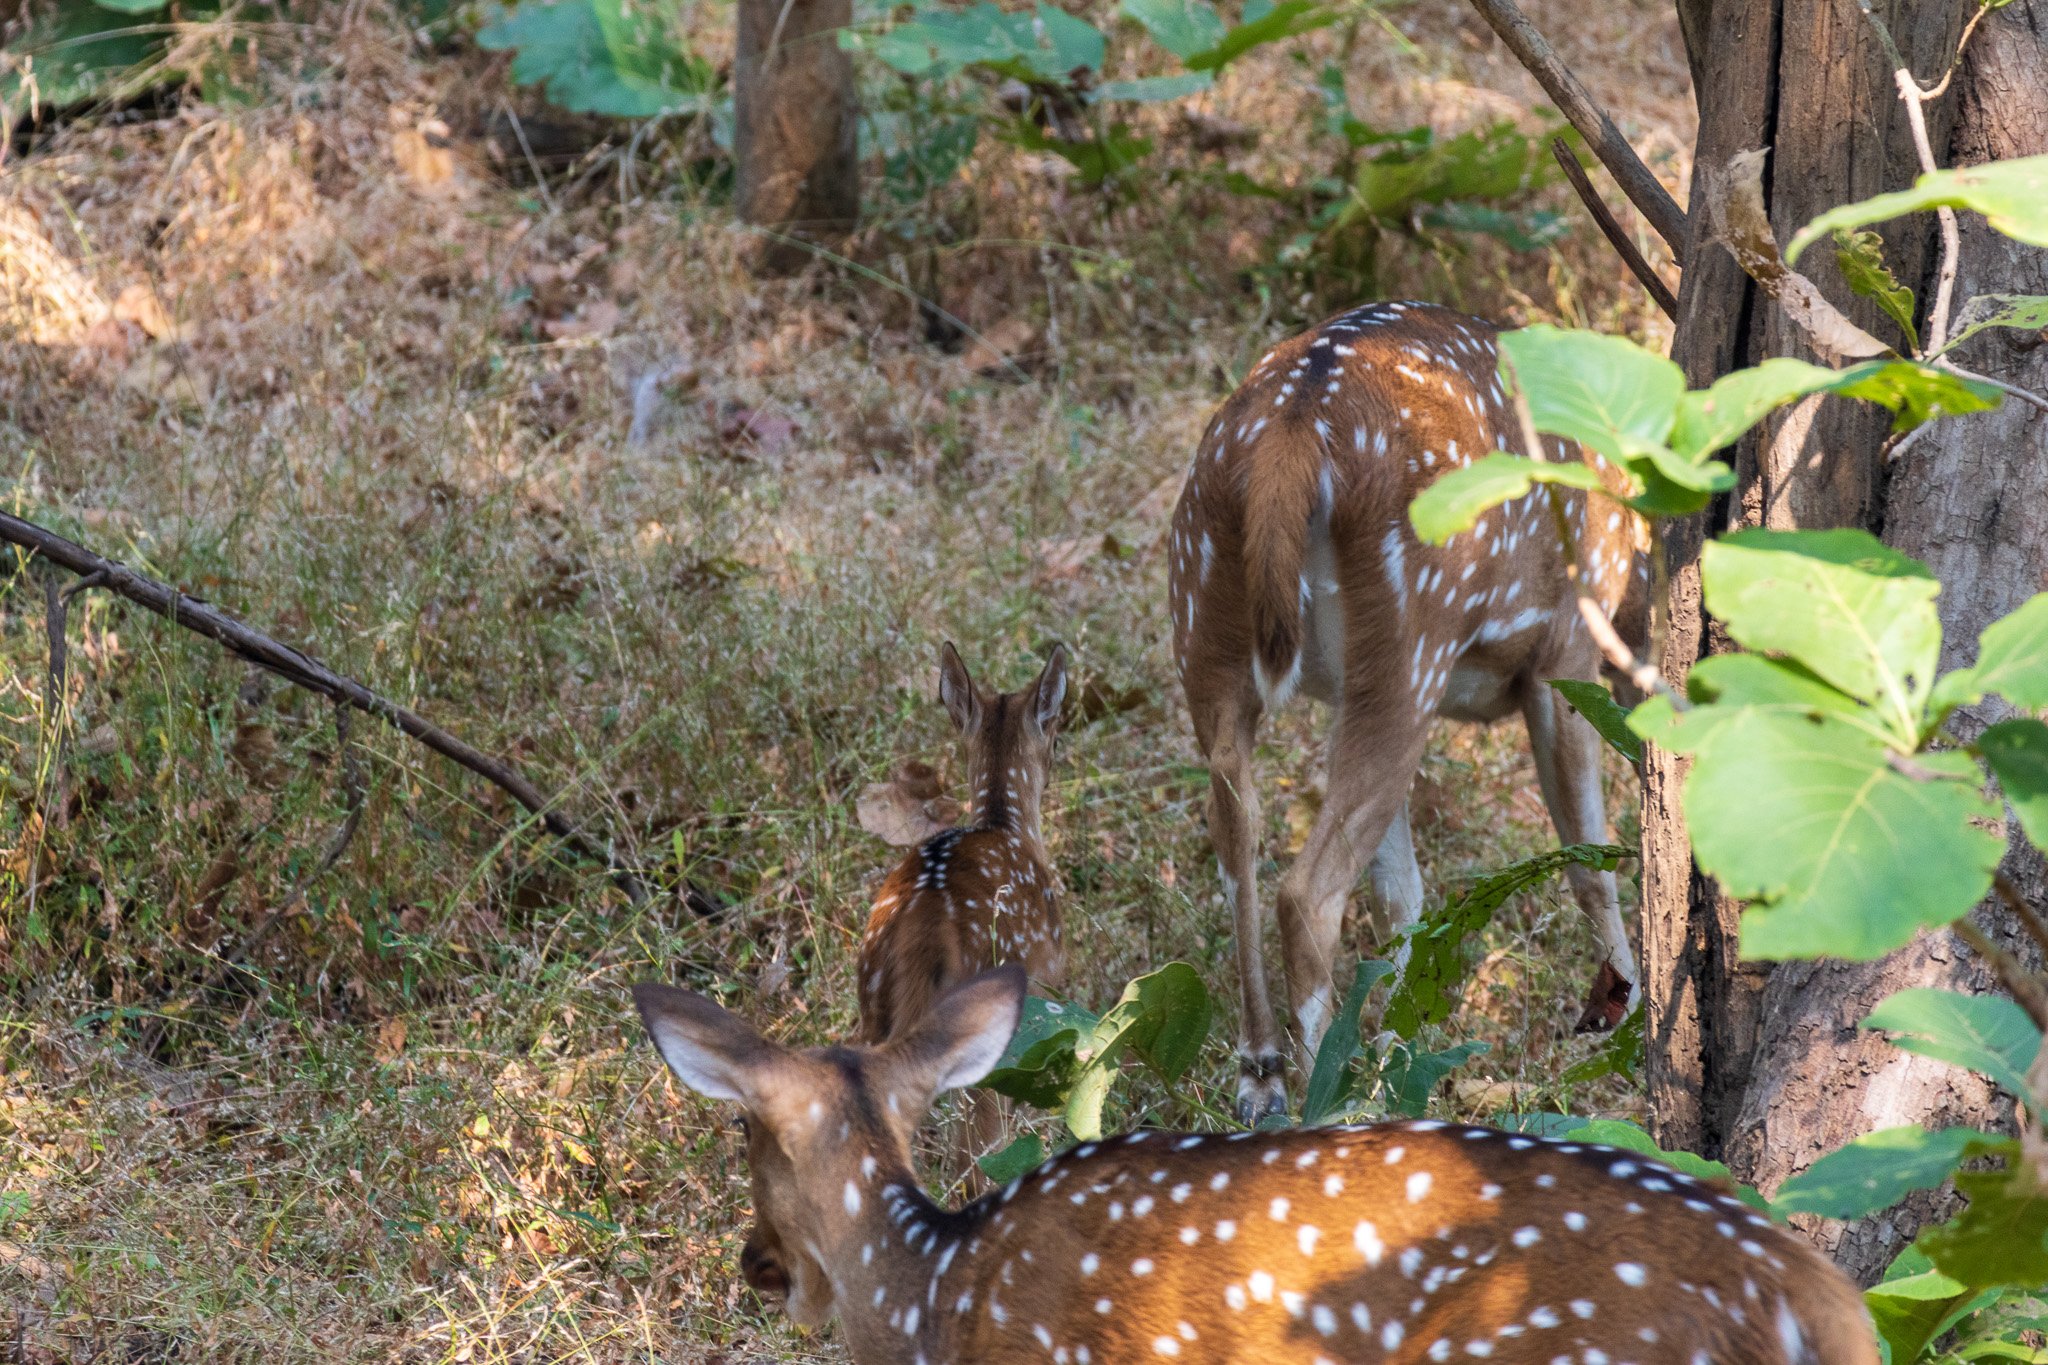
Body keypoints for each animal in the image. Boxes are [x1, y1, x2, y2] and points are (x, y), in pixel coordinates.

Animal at [856, 646, 1073, 1178]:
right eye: (1056, 737)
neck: (1005, 823)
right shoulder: (1051, 982)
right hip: (988, 1035)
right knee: (972, 1157)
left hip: (872, 1012)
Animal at [1171, 298, 1646, 1121]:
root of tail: (1291, 434)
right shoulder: (1567, 652)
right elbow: (1590, 853)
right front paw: (1624, 1013)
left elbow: (1402, 893)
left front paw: (1399, 1044)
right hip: (1410, 646)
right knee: (1308, 890)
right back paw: (1328, 1098)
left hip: (1209, 625)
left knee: (1238, 838)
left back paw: (1264, 1074)